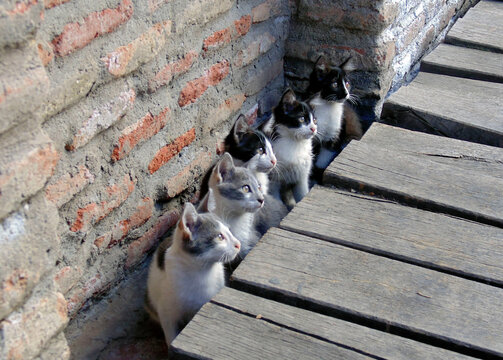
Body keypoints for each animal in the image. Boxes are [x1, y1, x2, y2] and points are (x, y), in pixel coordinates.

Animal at [146, 202, 240, 346]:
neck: (200, 272)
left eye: (230, 230)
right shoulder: (166, 313)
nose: (238, 244)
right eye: (219, 237)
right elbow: (171, 336)